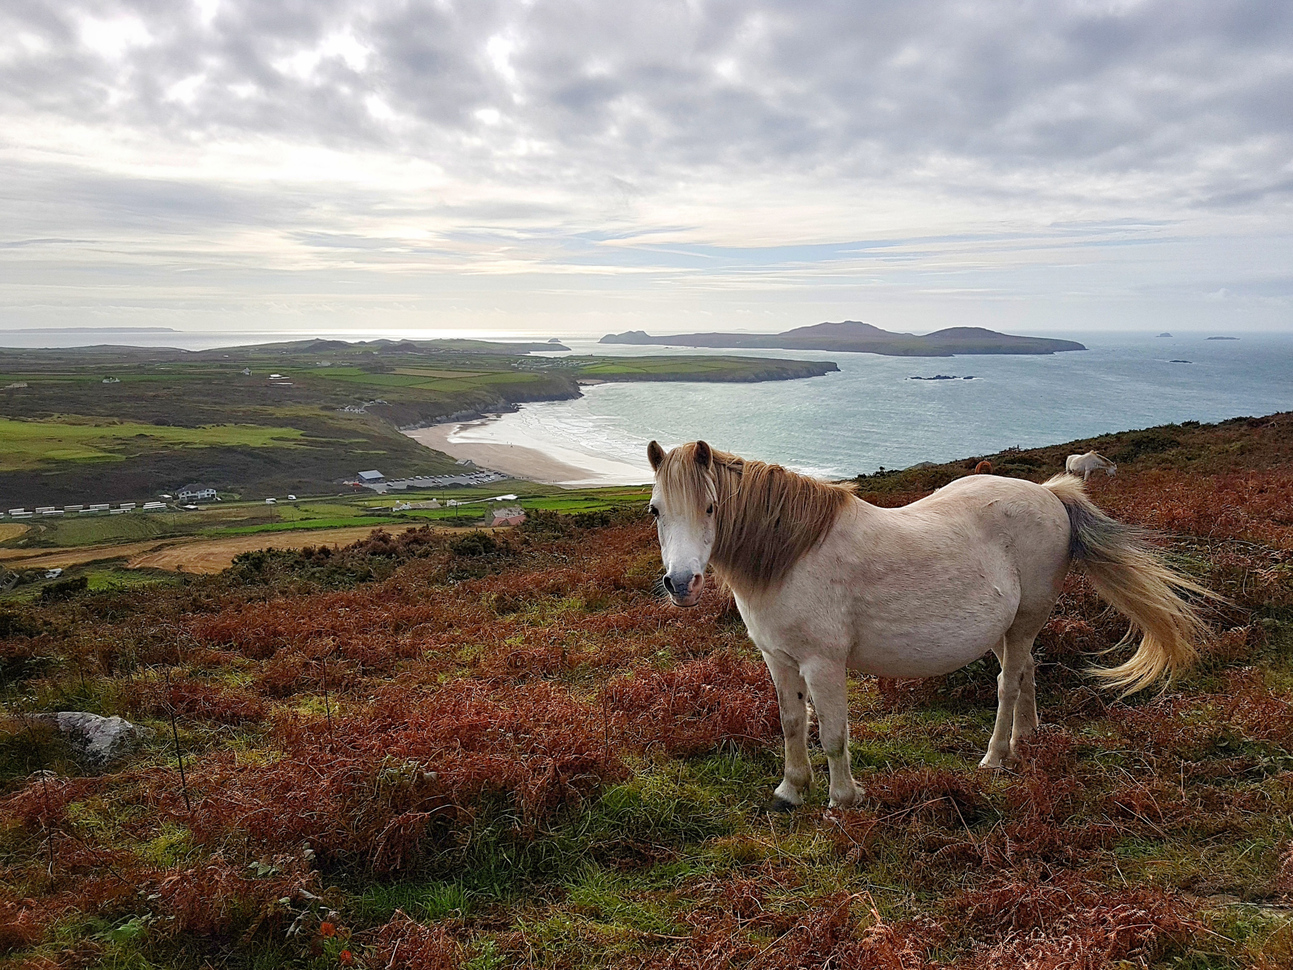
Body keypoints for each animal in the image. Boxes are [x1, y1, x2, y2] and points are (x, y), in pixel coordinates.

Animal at [646, 440, 1209, 810]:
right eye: (655, 510)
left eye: (711, 507)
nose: (681, 584)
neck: (791, 555)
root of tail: (1050, 494)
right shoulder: (778, 659)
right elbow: (790, 724)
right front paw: (791, 790)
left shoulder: (823, 664)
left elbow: (832, 733)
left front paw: (842, 799)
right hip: (1005, 629)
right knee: (1026, 670)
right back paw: (1027, 738)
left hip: (1025, 620)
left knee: (1007, 684)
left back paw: (996, 756)